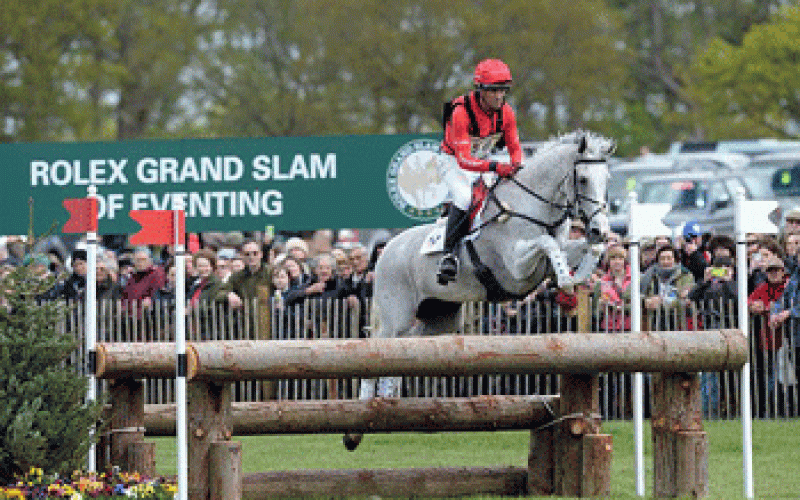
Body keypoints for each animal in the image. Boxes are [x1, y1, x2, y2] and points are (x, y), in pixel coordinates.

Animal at [342, 131, 612, 452]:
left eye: (607, 178)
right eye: (582, 179)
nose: (599, 229)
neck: (533, 208)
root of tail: (386, 250)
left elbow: (587, 249)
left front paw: (572, 283)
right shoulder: (516, 268)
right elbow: (547, 243)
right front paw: (567, 283)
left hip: (440, 319)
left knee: (406, 350)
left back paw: (386, 401)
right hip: (397, 317)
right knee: (376, 349)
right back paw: (355, 430)